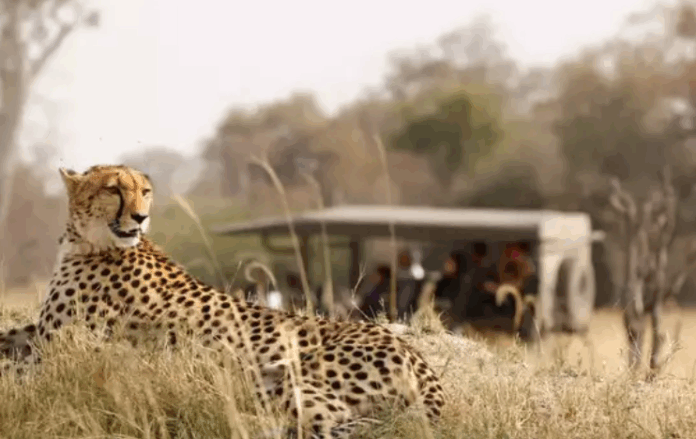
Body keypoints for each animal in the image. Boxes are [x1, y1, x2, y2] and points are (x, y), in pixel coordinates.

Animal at [0, 164, 445, 438]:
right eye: (113, 189)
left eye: (144, 191)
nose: (141, 217)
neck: (90, 240)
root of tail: (418, 357)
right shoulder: (44, 332)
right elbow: (9, 336)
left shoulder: (61, 346)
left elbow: (14, 360)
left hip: (277, 372)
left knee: (331, 421)